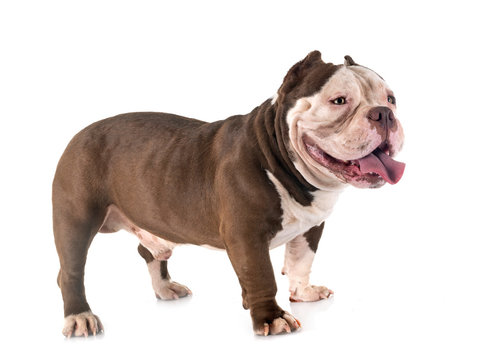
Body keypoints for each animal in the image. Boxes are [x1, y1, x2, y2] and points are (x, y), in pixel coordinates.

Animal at [53, 51, 404, 338]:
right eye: (339, 101)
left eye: (391, 99)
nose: (383, 114)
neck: (279, 158)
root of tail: (78, 134)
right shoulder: (246, 234)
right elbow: (261, 274)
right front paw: (271, 318)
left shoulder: (312, 227)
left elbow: (300, 261)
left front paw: (301, 293)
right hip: (76, 218)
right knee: (70, 270)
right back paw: (80, 317)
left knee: (149, 252)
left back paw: (165, 288)